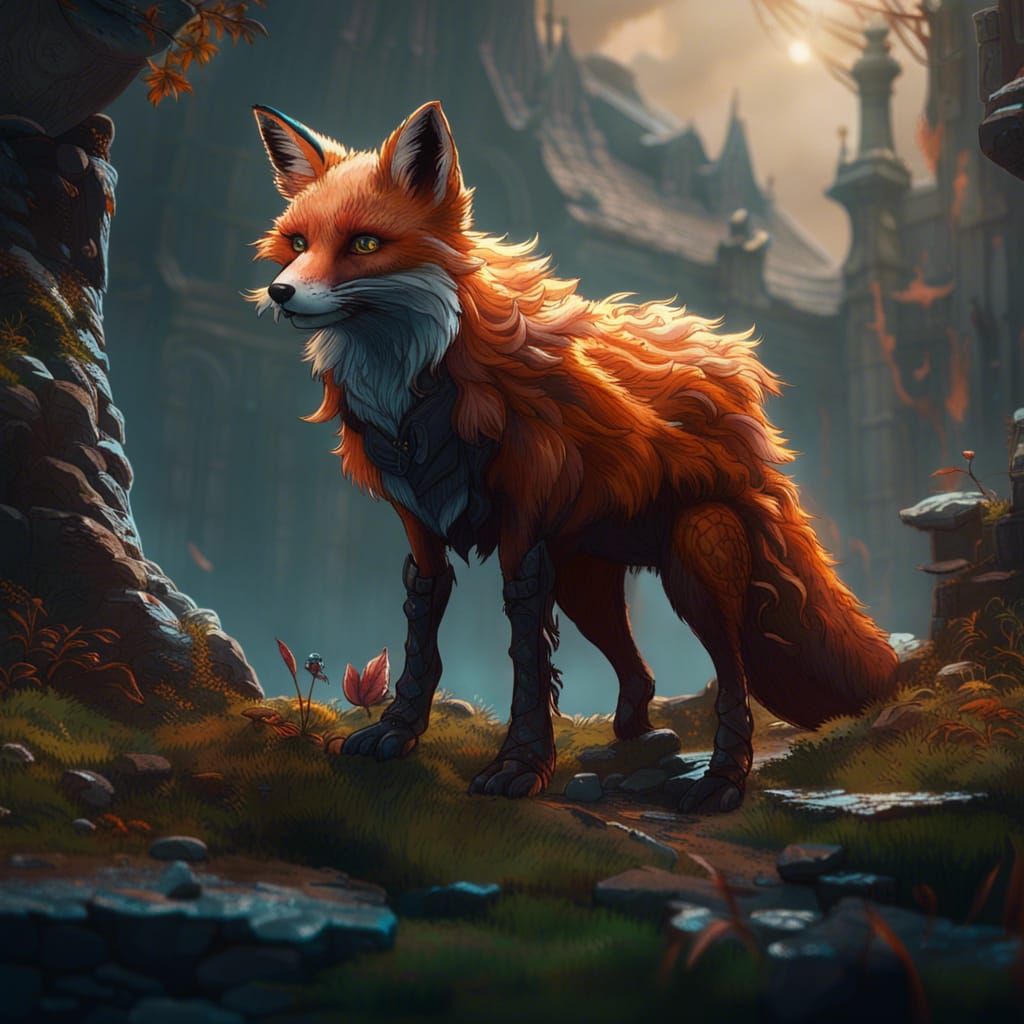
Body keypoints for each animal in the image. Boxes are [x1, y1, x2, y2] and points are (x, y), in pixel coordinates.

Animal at [249, 100, 899, 812]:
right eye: (297, 244)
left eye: (364, 245)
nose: (279, 294)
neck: (419, 391)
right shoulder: (419, 522)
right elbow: (423, 630)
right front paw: (398, 733)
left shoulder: (522, 534)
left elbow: (527, 660)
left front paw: (521, 766)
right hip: (588, 583)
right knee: (641, 677)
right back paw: (630, 753)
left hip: (695, 557)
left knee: (733, 678)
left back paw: (723, 779)